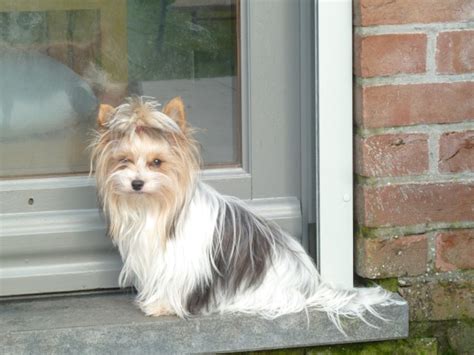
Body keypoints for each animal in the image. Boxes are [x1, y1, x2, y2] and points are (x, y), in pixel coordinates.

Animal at [90, 96, 394, 332]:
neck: (156, 207)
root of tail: (311, 284)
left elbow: (174, 284)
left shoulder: (182, 263)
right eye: (124, 161)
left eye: (157, 162)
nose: (137, 183)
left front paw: (162, 305)